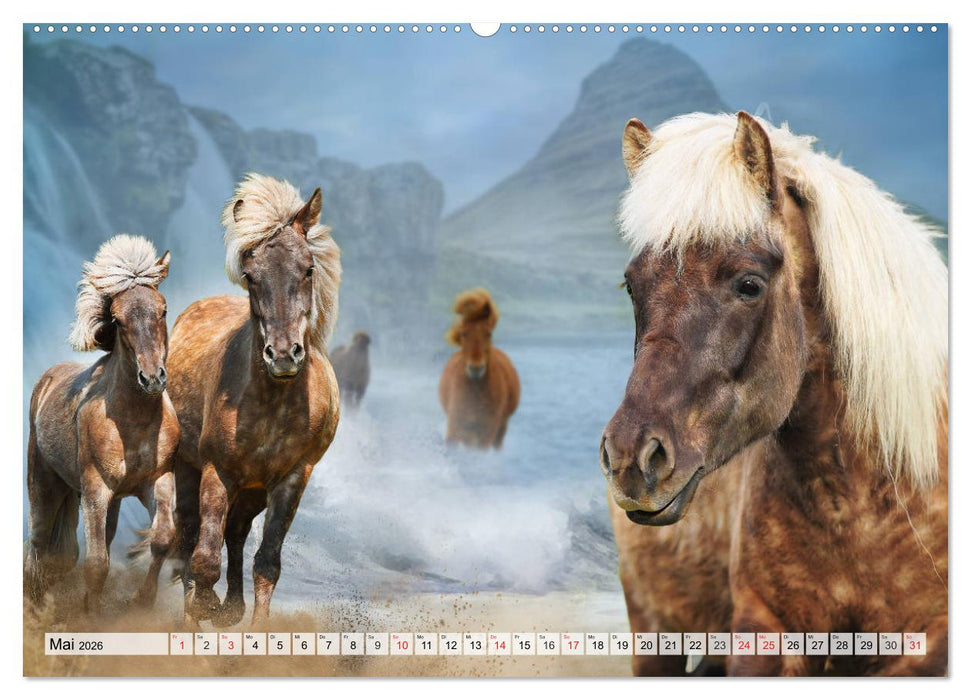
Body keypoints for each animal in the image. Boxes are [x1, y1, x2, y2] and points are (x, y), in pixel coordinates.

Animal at [26, 235, 178, 614]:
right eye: (119, 320)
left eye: (163, 309)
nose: (152, 378)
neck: (134, 420)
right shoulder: (96, 489)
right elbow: (96, 562)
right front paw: (91, 613)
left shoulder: (157, 480)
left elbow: (163, 538)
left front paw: (142, 600)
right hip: (44, 483)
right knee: (39, 542)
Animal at [167, 174, 341, 625]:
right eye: (250, 274)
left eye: (308, 268)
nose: (282, 355)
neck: (272, 405)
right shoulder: (218, 471)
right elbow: (203, 560)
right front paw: (203, 610)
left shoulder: (292, 479)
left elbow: (267, 563)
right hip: (190, 470)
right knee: (191, 538)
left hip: (253, 491)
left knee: (236, 533)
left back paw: (232, 606)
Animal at [438, 288, 520, 449]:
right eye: (463, 333)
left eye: (489, 333)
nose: (476, 368)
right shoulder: (454, 428)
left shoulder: (486, 433)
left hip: (499, 431)